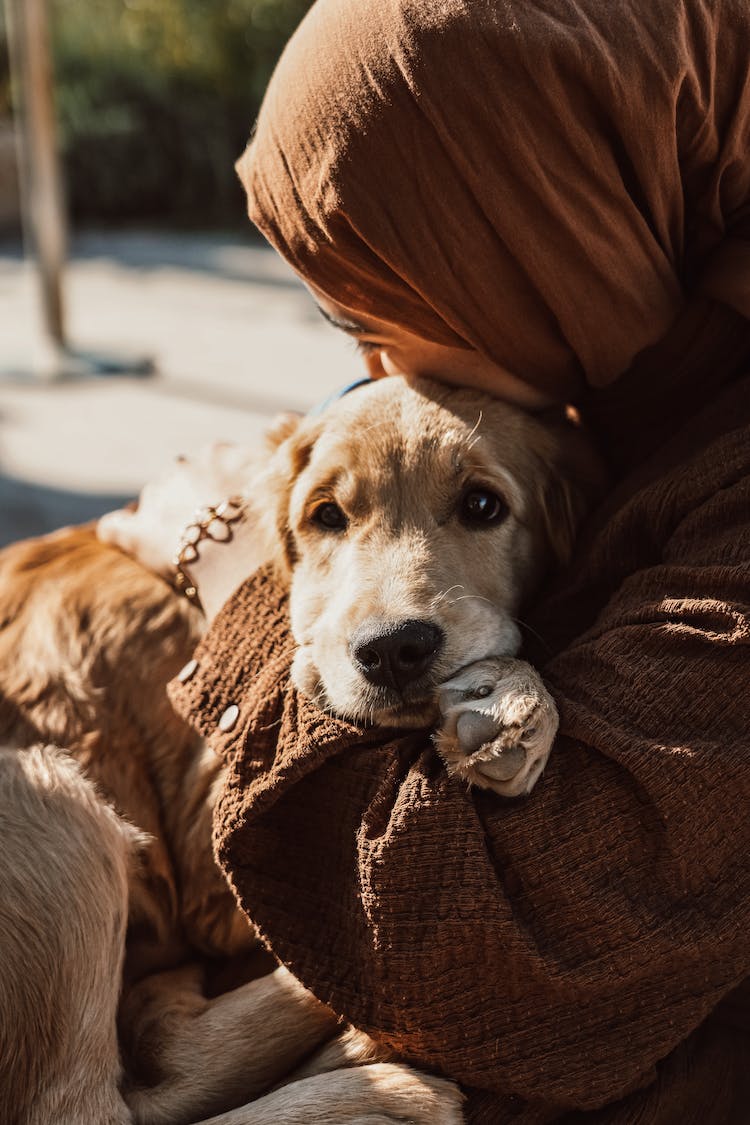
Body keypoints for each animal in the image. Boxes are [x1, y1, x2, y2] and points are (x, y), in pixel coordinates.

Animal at [0, 378, 598, 1125]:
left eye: (483, 505)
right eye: (327, 515)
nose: (391, 650)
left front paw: (509, 703)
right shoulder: (210, 853)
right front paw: (516, 700)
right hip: (51, 795)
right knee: (99, 1096)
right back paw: (370, 1096)